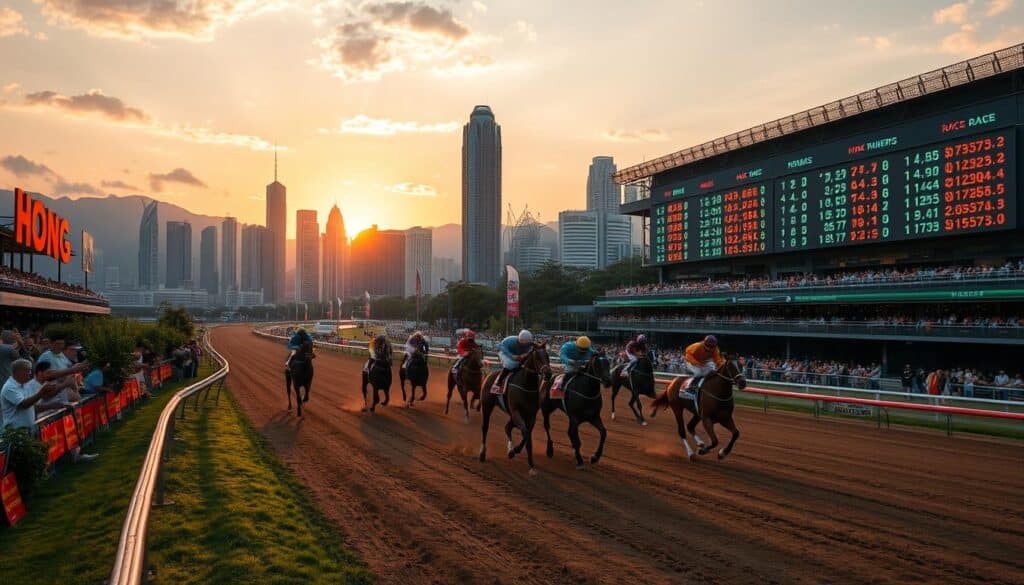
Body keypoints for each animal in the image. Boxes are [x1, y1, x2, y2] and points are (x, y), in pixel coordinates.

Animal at [479, 344, 552, 475]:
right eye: (537, 357)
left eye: (547, 356)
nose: (548, 373)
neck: (527, 385)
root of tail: (489, 375)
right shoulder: (516, 411)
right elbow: (525, 432)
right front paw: (516, 450)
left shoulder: (530, 416)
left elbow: (528, 436)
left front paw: (530, 465)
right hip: (487, 406)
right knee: (485, 427)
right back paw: (483, 453)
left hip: (512, 415)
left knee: (507, 427)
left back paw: (510, 449)